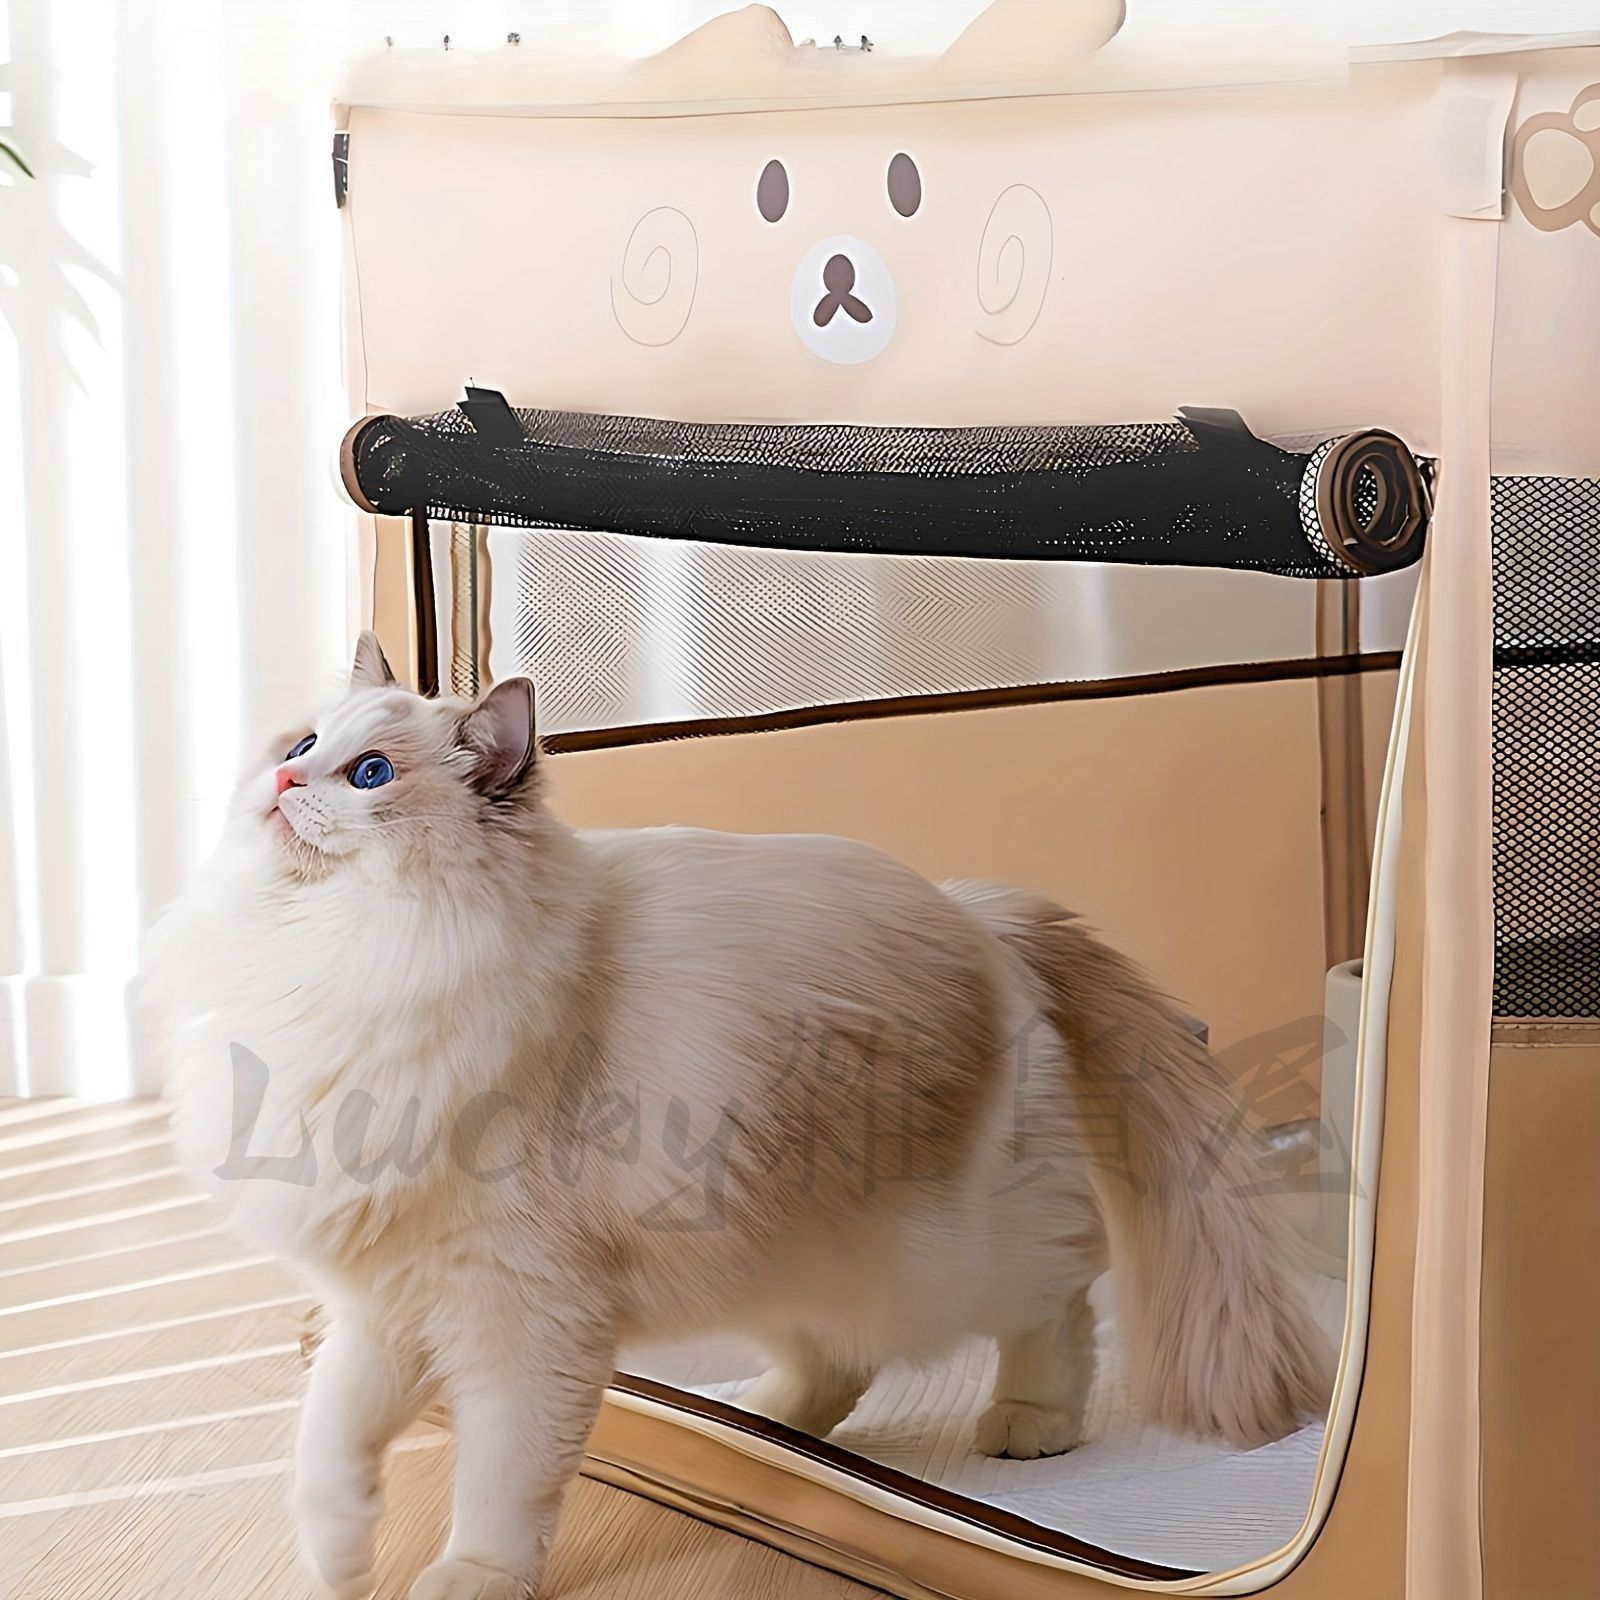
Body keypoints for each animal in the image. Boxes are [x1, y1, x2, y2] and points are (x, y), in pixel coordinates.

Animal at [140, 632, 1333, 1600]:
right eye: (303, 740)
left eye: (370, 773)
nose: (283, 775)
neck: (338, 960)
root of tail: (982, 915)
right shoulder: (385, 1300)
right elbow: (326, 1450)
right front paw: (337, 1566)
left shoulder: (523, 1316)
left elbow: (501, 1480)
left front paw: (470, 1576)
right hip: (778, 1242)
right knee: (842, 1358)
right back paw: (767, 1419)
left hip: (941, 1252)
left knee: (1062, 1292)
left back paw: (1029, 1425)